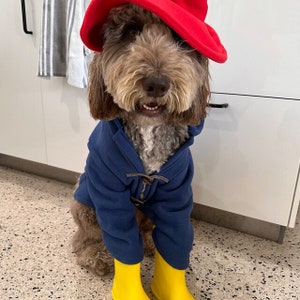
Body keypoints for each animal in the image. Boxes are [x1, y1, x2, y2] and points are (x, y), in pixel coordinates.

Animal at [71, 2, 211, 276]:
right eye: (131, 31)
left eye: (179, 38)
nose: (156, 84)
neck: (148, 130)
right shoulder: (107, 189)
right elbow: (119, 236)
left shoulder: (176, 192)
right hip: (84, 205)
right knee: (84, 238)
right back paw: (97, 255)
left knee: (145, 229)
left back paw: (148, 244)